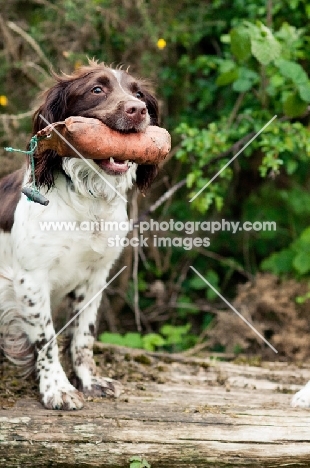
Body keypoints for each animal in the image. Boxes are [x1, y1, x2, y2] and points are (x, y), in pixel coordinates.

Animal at [0, 62, 159, 410]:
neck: (88, 201)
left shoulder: (96, 276)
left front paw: (89, 381)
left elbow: (83, 336)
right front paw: (57, 389)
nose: (137, 110)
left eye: (139, 94)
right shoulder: (31, 279)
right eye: (96, 90)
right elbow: (47, 340)